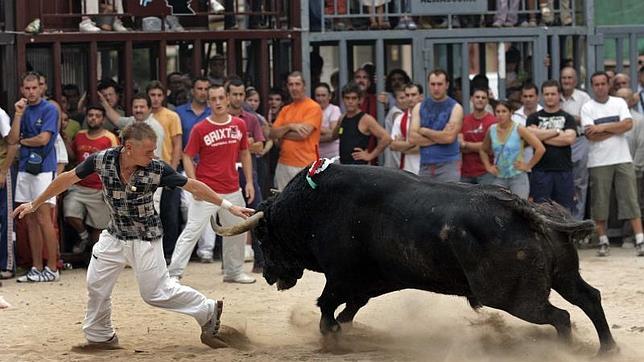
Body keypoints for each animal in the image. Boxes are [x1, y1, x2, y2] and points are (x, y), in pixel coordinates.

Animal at [214, 160, 616, 354]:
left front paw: (331, 338)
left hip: (513, 297)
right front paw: (344, 332)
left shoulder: (341, 277)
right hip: (562, 275)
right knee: (589, 298)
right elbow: (347, 310)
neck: (313, 206)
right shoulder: (369, 283)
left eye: (263, 236)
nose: (269, 275)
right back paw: (606, 349)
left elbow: (327, 306)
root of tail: (524, 208)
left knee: (561, 316)